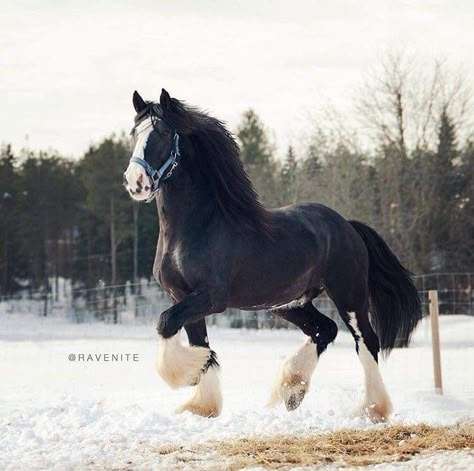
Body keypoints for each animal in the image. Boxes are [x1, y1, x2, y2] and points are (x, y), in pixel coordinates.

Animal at [123, 89, 422, 420]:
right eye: (134, 132)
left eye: (163, 132)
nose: (135, 182)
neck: (194, 227)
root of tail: (348, 226)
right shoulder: (181, 296)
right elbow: (199, 344)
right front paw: (202, 405)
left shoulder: (211, 297)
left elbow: (165, 323)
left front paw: (187, 379)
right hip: (290, 303)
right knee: (325, 330)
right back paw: (292, 390)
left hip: (349, 296)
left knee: (365, 340)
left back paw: (372, 408)